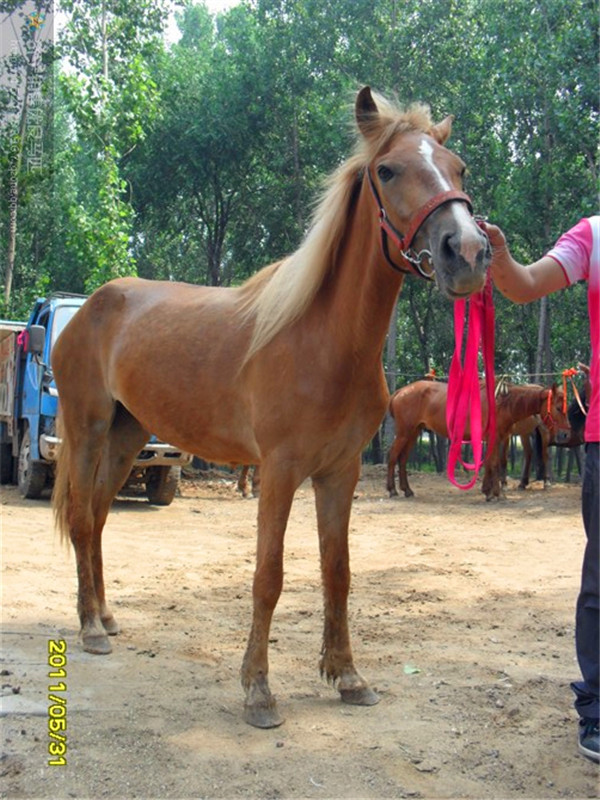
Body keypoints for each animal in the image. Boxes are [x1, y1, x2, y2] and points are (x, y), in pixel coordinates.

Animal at [51, 89, 490, 732]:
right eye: (387, 171)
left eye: (459, 168)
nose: (469, 253)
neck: (327, 340)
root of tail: (86, 310)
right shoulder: (279, 471)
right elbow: (269, 575)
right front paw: (258, 690)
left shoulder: (340, 472)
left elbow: (338, 572)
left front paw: (348, 676)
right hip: (88, 430)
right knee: (84, 521)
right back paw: (89, 630)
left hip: (128, 436)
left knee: (101, 520)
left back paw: (106, 616)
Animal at [386, 378, 568, 496]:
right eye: (558, 408)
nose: (565, 433)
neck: (502, 403)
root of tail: (400, 392)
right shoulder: (495, 438)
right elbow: (494, 463)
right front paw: (494, 493)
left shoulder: (499, 437)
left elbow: (491, 463)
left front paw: (489, 490)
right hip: (404, 432)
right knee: (393, 456)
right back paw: (392, 489)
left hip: (413, 432)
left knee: (403, 459)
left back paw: (407, 490)